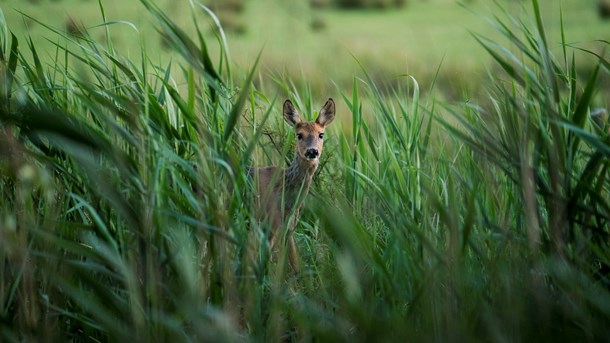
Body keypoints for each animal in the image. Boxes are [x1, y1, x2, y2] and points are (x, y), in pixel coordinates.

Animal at [248, 99, 338, 272]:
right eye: (299, 135)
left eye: (321, 134)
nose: (312, 151)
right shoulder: (272, 221)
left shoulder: (288, 226)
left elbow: (290, 261)